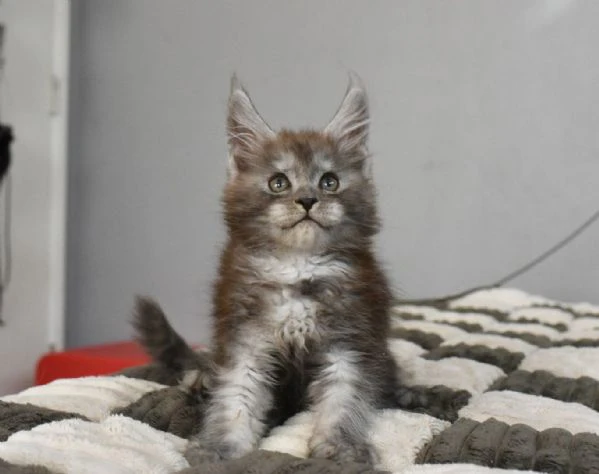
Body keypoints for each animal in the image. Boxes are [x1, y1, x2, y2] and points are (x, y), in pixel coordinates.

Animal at [135, 76, 400, 464]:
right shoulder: (244, 339)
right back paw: (201, 381)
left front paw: (339, 447)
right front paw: (221, 447)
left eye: (329, 182)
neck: (297, 266)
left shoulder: (351, 340)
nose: (307, 200)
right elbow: (236, 394)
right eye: (279, 183)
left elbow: (344, 397)